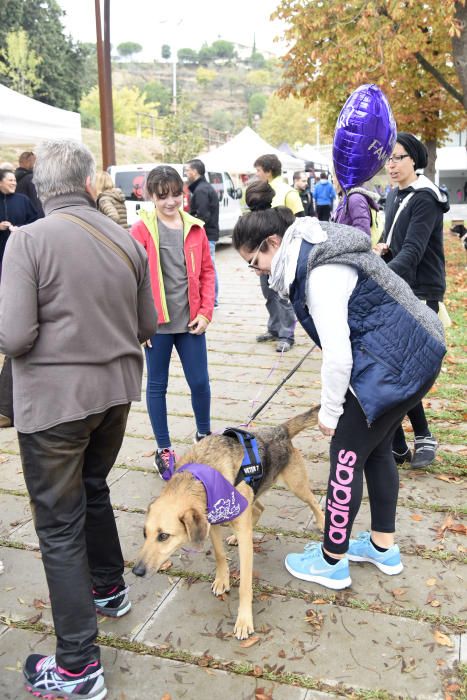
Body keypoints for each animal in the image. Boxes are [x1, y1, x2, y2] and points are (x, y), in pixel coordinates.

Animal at [133, 404, 326, 640]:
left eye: (163, 536)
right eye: (145, 534)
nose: (137, 571)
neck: (200, 477)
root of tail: (280, 430)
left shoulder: (240, 537)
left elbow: (244, 585)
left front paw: (244, 620)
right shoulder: (213, 523)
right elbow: (219, 555)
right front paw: (222, 580)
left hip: (296, 486)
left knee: (314, 502)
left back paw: (322, 522)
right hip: (253, 497)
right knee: (259, 509)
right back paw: (235, 535)